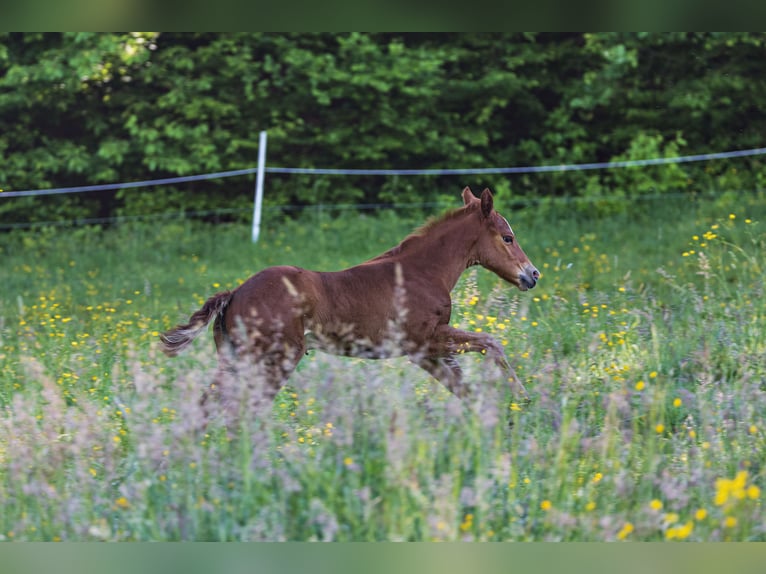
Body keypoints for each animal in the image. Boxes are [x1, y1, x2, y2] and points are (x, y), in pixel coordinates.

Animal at [160, 189, 540, 418]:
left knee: (210, 406)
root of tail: (235, 294)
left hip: (236, 361)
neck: (423, 271)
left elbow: (464, 387)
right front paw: (522, 399)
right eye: (508, 237)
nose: (532, 274)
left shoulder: (425, 353)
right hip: (274, 360)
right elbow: (491, 343)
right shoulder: (425, 339)